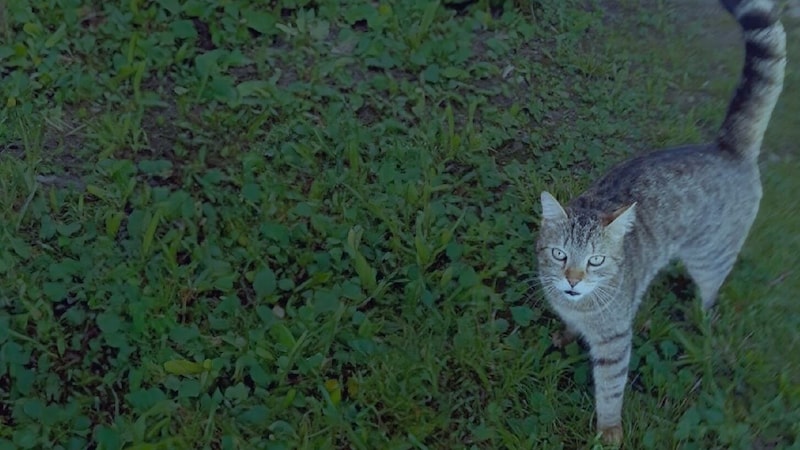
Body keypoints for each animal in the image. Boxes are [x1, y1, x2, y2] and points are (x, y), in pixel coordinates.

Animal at [536, 0, 784, 442]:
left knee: (709, 295)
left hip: (711, 259)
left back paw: (698, 319)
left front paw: (609, 431)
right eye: (559, 254)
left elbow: (610, 391)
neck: (578, 305)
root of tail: (726, 147)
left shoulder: (615, 340)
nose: (573, 280)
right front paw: (565, 335)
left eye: (596, 261)